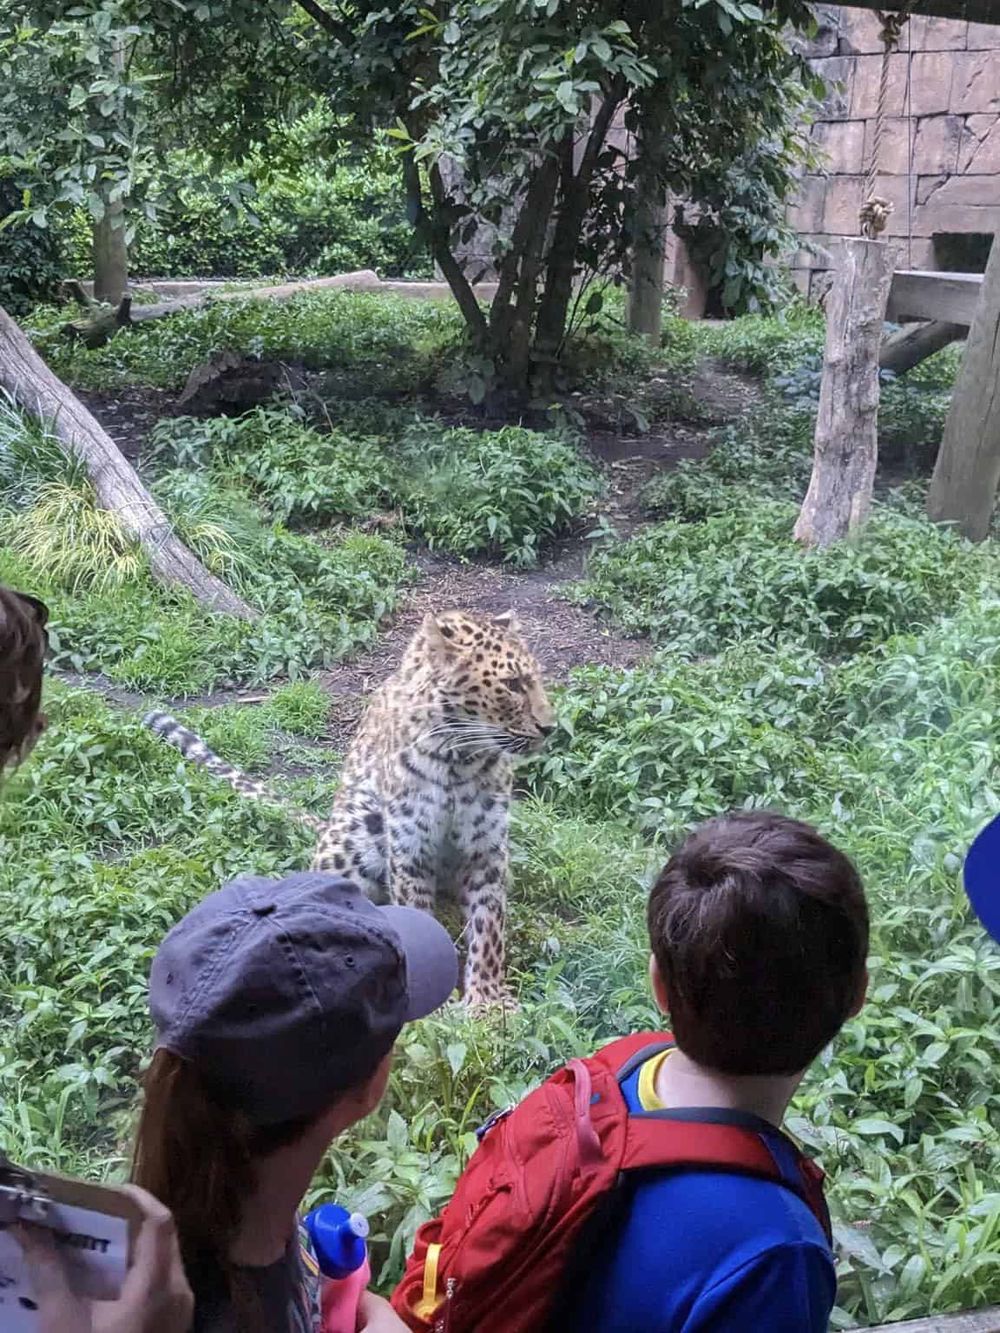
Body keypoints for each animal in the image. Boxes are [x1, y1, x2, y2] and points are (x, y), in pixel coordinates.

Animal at [144, 609, 554, 1007]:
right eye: (513, 684)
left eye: (535, 680)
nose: (550, 727)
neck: (461, 758)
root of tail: (325, 824)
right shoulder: (411, 849)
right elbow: (421, 917)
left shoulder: (487, 849)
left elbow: (489, 928)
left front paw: (487, 1001)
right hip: (358, 830)